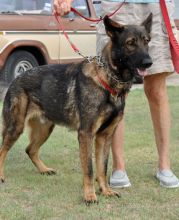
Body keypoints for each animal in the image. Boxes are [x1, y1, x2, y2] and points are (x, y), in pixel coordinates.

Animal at [0, 14, 153, 204]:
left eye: (147, 41)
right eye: (130, 43)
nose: (149, 62)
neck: (108, 82)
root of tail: (16, 78)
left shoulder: (105, 136)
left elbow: (102, 167)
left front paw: (105, 191)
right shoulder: (86, 134)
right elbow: (89, 169)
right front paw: (90, 195)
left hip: (45, 129)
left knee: (30, 149)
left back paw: (44, 169)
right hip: (16, 127)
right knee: (3, 150)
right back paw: (1, 176)